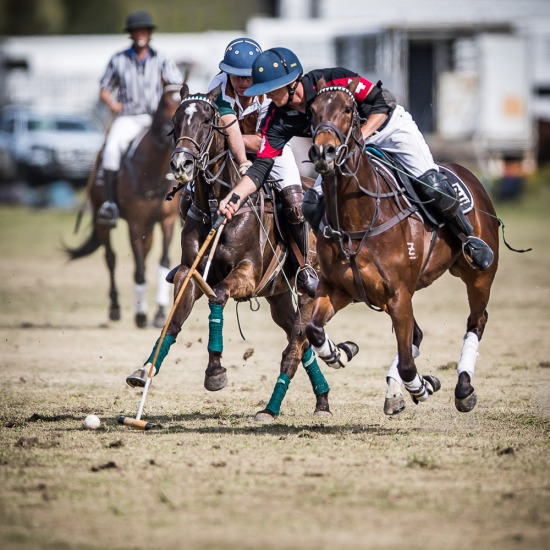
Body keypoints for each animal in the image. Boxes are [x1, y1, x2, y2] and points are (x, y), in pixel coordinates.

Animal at [66, 84, 183, 330]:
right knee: (111, 258)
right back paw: (115, 308)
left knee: (144, 257)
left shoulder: (166, 221)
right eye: (164, 103)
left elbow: (163, 263)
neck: (154, 171)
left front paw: (159, 313)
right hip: (102, 219)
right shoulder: (135, 223)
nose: (173, 131)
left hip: (149, 227)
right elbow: (137, 270)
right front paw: (141, 316)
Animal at [128, 86, 334, 422]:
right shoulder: (190, 272)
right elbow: (176, 316)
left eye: (208, 121)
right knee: (300, 341)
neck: (217, 205)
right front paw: (145, 370)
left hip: (306, 290)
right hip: (277, 296)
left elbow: (219, 296)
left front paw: (215, 372)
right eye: (174, 122)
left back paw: (272, 409)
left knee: (295, 343)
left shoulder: (247, 274)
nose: (181, 165)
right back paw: (322, 399)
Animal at [308, 80, 502, 416]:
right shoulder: (338, 288)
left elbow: (410, 364)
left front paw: (421, 387)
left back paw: (463, 388)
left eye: (347, 109)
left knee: (477, 320)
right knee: (418, 334)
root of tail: (466, 172)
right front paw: (339, 352)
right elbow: (313, 329)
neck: (357, 219)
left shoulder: (398, 294)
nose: (323, 151)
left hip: (479, 276)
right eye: (312, 110)